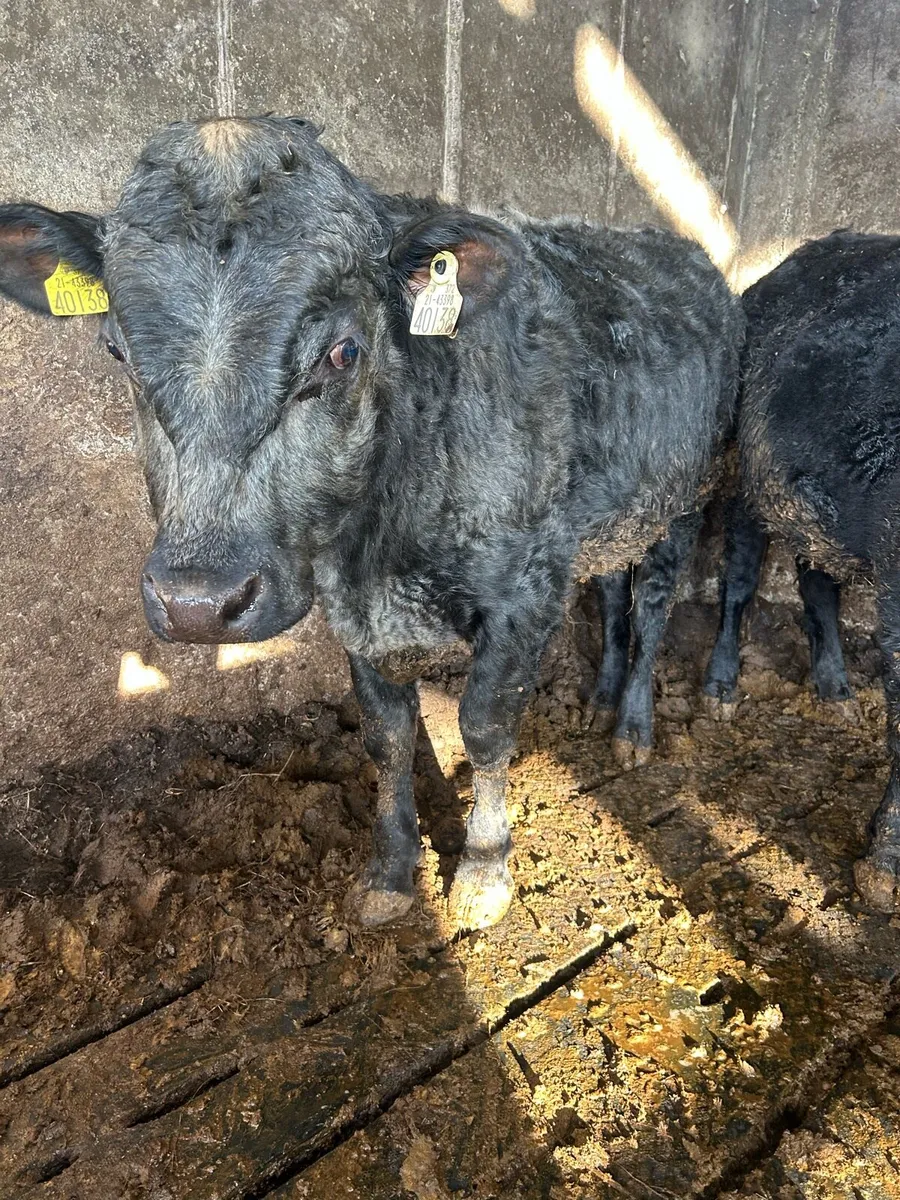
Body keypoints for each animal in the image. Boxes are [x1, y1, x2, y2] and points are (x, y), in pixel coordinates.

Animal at [0, 116, 741, 930]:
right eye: (117, 350)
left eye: (343, 352)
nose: (198, 602)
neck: (387, 544)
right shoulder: (354, 611)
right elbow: (386, 739)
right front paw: (391, 872)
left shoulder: (526, 593)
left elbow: (485, 726)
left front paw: (484, 870)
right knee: (611, 587)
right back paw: (600, 699)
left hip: (690, 494)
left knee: (655, 601)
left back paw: (634, 725)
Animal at [703, 230, 900, 911]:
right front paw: (884, 870)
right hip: (748, 470)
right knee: (739, 574)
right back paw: (720, 689)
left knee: (816, 583)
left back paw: (837, 693)